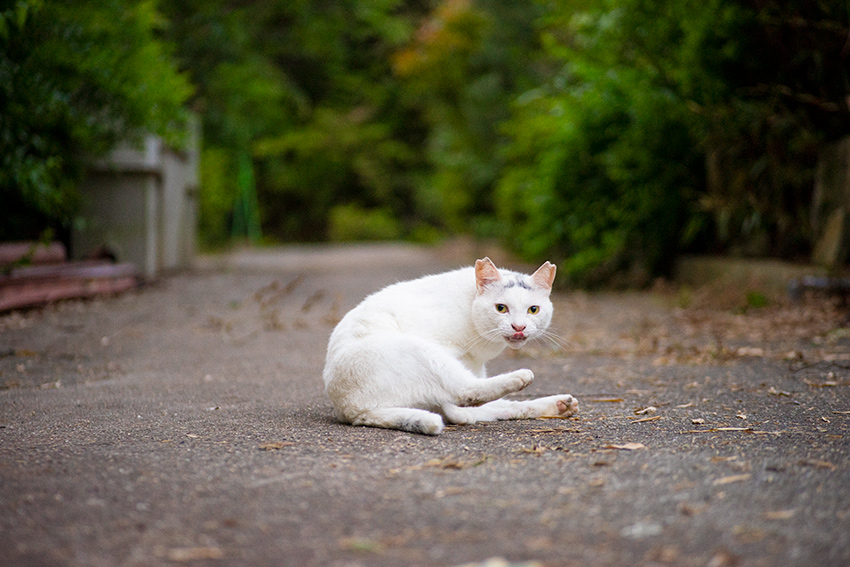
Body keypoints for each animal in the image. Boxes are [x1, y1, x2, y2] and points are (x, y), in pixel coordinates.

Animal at [322, 258, 580, 434]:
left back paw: (558, 405)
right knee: (464, 393)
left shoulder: (475, 363)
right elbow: (459, 407)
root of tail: (352, 411)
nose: (519, 327)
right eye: (501, 308)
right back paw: (520, 378)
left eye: (533, 310)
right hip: (425, 352)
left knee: (490, 406)